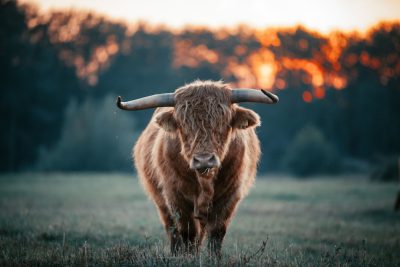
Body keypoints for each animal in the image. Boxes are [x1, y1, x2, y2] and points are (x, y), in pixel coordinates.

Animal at [115, 81, 278, 255]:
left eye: (223, 123)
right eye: (183, 125)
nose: (204, 160)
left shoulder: (230, 196)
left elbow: (217, 233)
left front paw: (213, 258)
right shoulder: (175, 196)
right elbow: (188, 232)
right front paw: (188, 257)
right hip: (162, 203)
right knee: (173, 230)